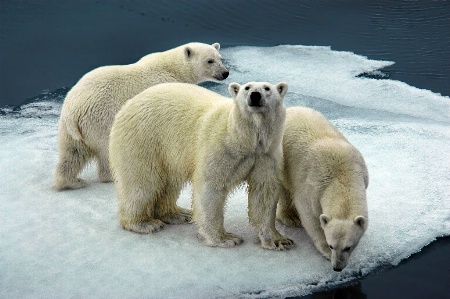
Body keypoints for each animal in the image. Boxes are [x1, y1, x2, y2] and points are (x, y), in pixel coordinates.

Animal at [53, 42, 229, 190]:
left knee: (72, 153)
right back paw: (111, 176)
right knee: (105, 149)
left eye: (220, 58)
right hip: (100, 119)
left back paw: (72, 182)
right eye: (209, 61)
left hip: (71, 129)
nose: (225, 73)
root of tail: (73, 110)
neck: (173, 69)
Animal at [110, 81, 294, 251]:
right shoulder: (221, 148)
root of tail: (128, 104)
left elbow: (264, 194)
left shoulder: (266, 155)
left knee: (168, 183)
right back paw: (143, 223)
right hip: (144, 139)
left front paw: (279, 241)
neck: (244, 138)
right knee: (143, 183)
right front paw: (225, 238)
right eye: (247, 87)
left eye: (267, 88)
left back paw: (177, 214)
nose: (255, 95)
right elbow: (211, 188)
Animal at [278, 108, 370, 272]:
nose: (337, 267)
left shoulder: (362, 174)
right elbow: (309, 216)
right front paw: (325, 251)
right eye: (331, 245)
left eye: (348, 247)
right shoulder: (311, 187)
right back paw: (290, 216)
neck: (342, 176)